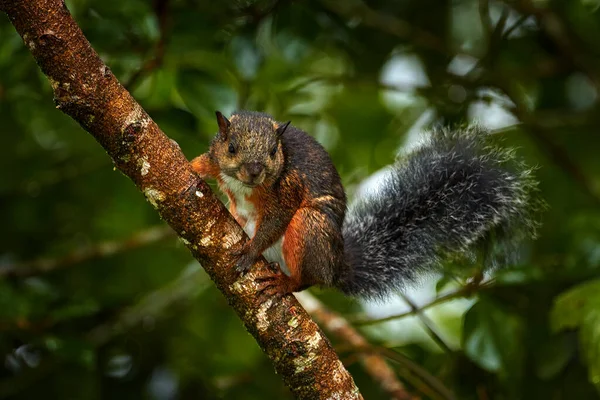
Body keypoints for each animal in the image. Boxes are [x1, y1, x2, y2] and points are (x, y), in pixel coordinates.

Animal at [191, 111, 540, 298]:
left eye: (274, 152)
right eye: (231, 147)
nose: (254, 172)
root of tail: (337, 267)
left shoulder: (288, 188)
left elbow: (276, 220)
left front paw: (250, 252)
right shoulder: (216, 159)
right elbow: (202, 162)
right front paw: (188, 169)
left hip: (311, 228)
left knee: (308, 277)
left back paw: (286, 281)